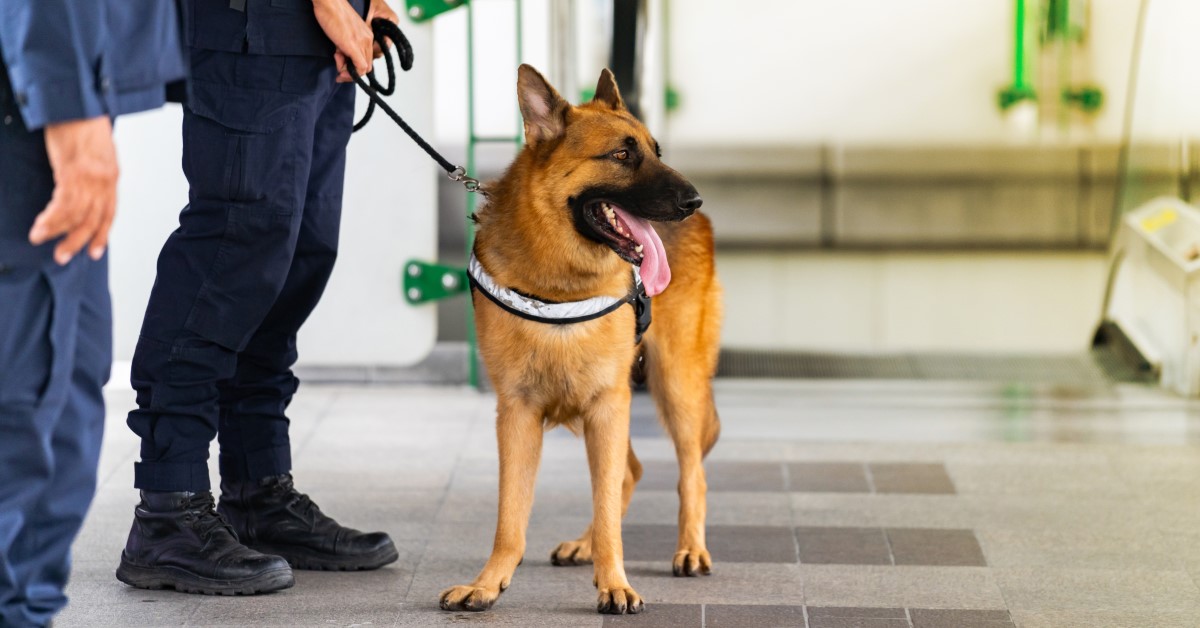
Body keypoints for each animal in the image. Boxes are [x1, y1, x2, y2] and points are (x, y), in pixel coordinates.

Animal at [441, 65, 720, 619]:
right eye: (622, 155)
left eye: (655, 150)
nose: (693, 199)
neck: (559, 283)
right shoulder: (518, 414)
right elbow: (510, 516)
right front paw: (488, 583)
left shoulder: (608, 405)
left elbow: (609, 506)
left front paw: (615, 584)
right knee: (629, 471)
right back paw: (586, 544)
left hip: (674, 386)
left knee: (689, 473)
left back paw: (690, 549)